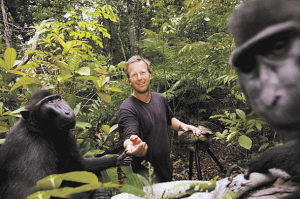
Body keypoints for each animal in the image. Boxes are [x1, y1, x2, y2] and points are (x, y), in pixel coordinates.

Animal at [0, 89, 130, 199]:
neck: (40, 131)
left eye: (58, 99)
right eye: (49, 102)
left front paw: (118, 159)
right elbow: (30, 194)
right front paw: (97, 192)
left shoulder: (67, 136)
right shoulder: (31, 148)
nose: (67, 111)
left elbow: (78, 166)